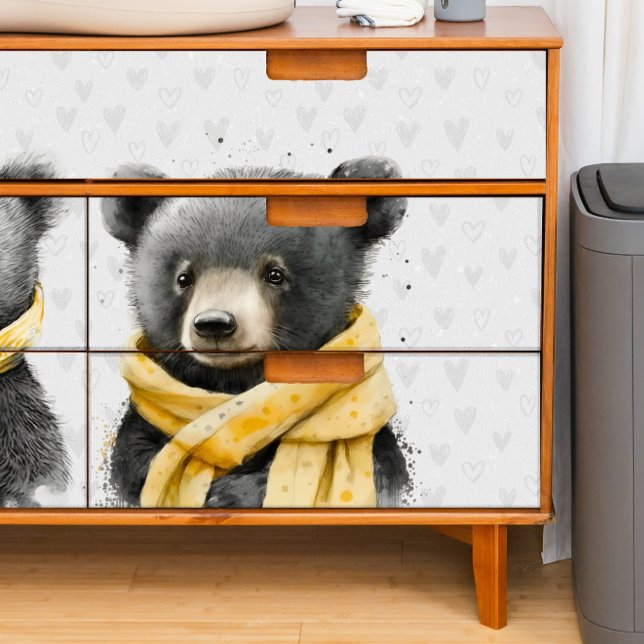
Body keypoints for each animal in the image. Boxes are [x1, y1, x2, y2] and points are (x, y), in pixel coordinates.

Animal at [102, 156, 409, 508]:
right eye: (184, 278)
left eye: (275, 274)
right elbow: (137, 461)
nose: (215, 323)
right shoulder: (142, 430)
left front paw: (229, 494)